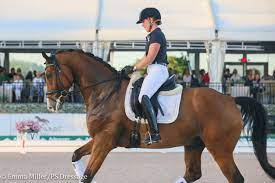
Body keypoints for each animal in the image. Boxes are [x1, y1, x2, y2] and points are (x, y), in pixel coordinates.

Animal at [42, 50, 274, 183]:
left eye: (49, 74)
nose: (51, 104)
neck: (105, 91)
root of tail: (230, 99)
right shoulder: (100, 138)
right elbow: (75, 155)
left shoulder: (105, 140)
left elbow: (88, 175)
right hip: (193, 144)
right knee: (192, 174)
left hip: (220, 150)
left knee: (235, 178)